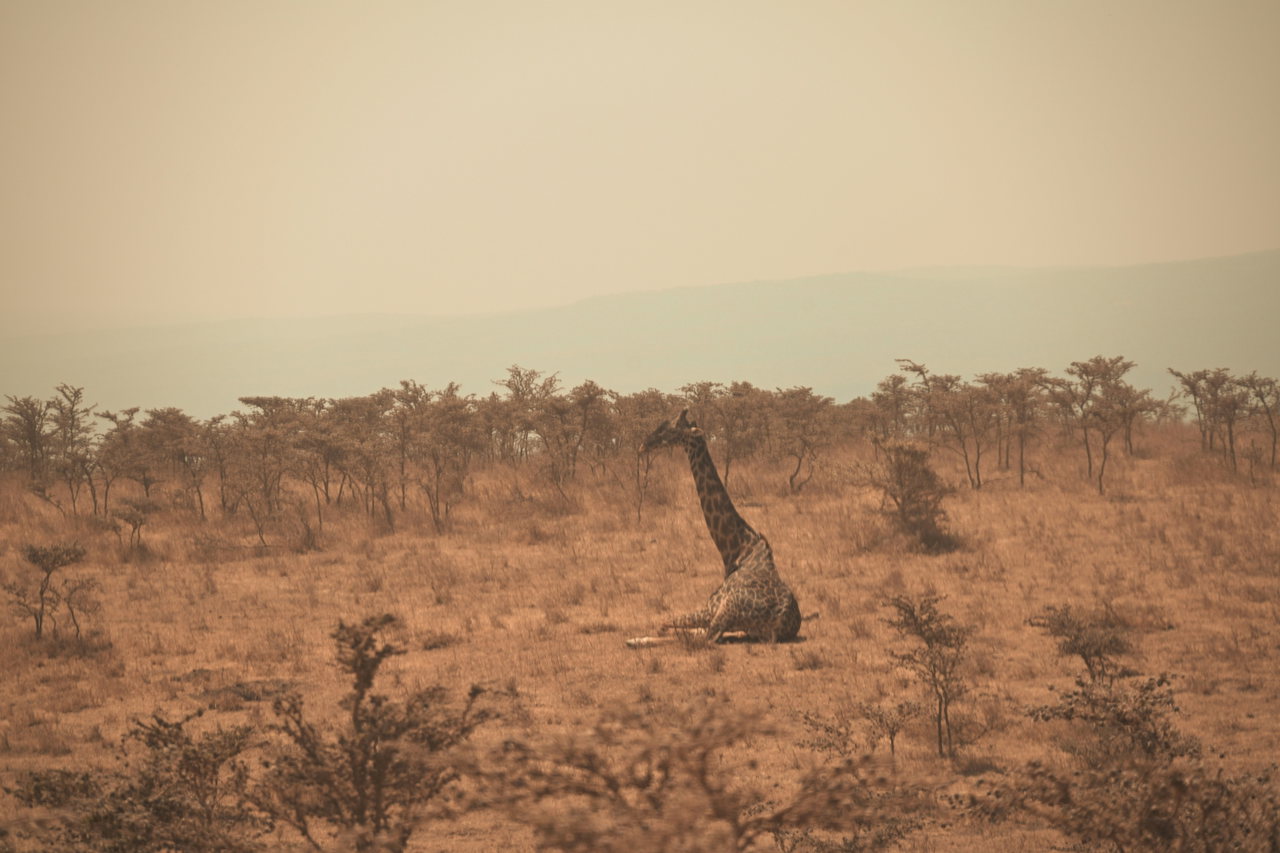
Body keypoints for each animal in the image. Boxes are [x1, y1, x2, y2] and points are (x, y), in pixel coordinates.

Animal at [627, 409, 801, 646]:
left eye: (670, 429)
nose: (643, 445)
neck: (738, 551)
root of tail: (781, 620)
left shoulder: (711, 608)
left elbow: (666, 624)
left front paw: (638, 638)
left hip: (725, 610)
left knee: (703, 638)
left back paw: (636, 640)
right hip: (741, 625)